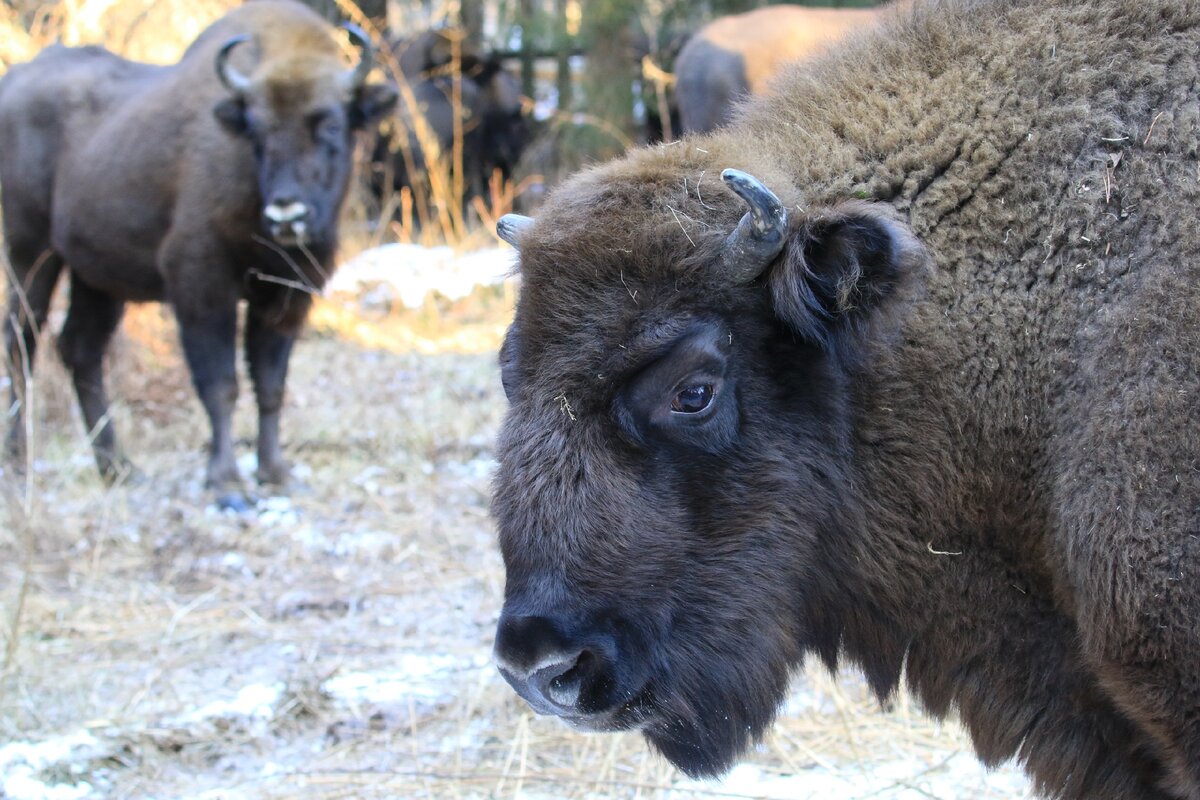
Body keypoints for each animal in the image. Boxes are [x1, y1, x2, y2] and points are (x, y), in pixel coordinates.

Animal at [2, 0, 400, 506]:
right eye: (257, 131)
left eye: (330, 123)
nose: (287, 212)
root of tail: (15, 80)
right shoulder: (203, 287)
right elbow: (221, 384)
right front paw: (226, 481)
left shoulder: (286, 297)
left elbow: (271, 384)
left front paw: (276, 472)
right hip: (31, 254)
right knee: (22, 343)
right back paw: (19, 461)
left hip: (96, 279)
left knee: (80, 350)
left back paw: (119, 469)